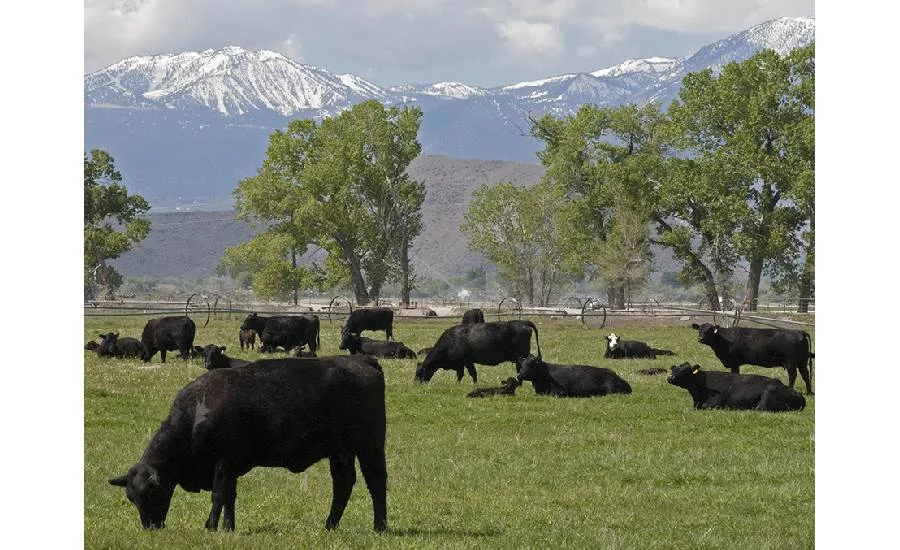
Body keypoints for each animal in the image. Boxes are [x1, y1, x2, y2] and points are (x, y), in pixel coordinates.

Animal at [108, 355, 387, 532]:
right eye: (131, 497)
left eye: (151, 492)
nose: (150, 527)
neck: (197, 411)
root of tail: (362, 360)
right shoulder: (230, 467)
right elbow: (230, 497)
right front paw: (228, 527)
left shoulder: (223, 464)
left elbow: (219, 495)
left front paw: (210, 526)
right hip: (340, 452)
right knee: (343, 484)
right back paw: (330, 525)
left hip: (370, 446)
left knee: (376, 482)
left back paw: (380, 526)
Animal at [414, 320, 542, 384]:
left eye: (419, 373)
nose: (415, 384)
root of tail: (522, 323)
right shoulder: (461, 364)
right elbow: (461, 375)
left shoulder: (467, 362)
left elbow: (471, 374)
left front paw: (474, 384)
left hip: (521, 357)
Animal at [667, 362, 806, 412]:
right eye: (674, 369)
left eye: (685, 371)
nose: (670, 377)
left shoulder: (714, 403)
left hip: (769, 391)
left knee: (760, 408)